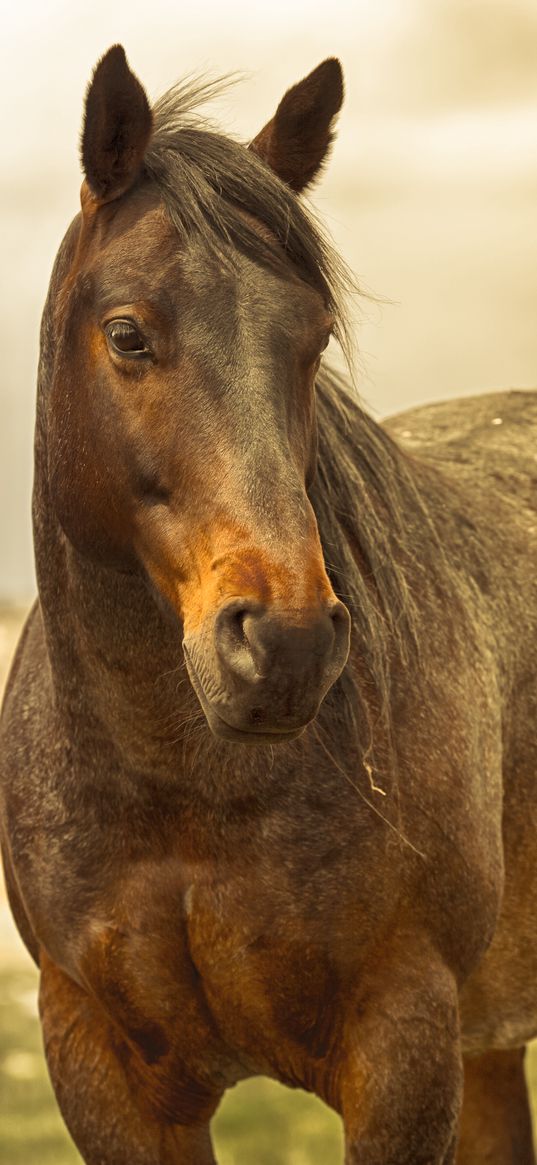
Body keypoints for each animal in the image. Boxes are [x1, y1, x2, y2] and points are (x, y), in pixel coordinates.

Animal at [1, 45, 535, 1165]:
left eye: (314, 336)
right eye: (128, 333)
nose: (283, 644)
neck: (183, 791)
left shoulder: (403, 1050)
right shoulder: (101, 1065)